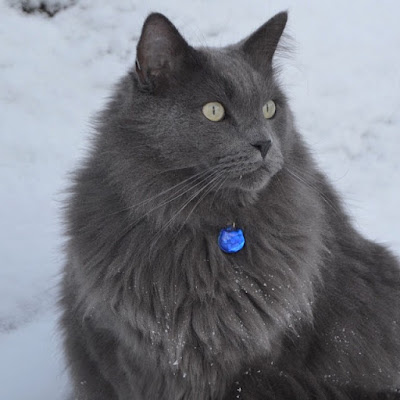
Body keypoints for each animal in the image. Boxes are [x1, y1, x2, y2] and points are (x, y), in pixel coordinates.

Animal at [60, 10, 400, 398]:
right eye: (213, 111)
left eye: (269, 108)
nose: (264, 144)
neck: (214, 235)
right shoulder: (123, 351)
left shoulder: (276, 351)